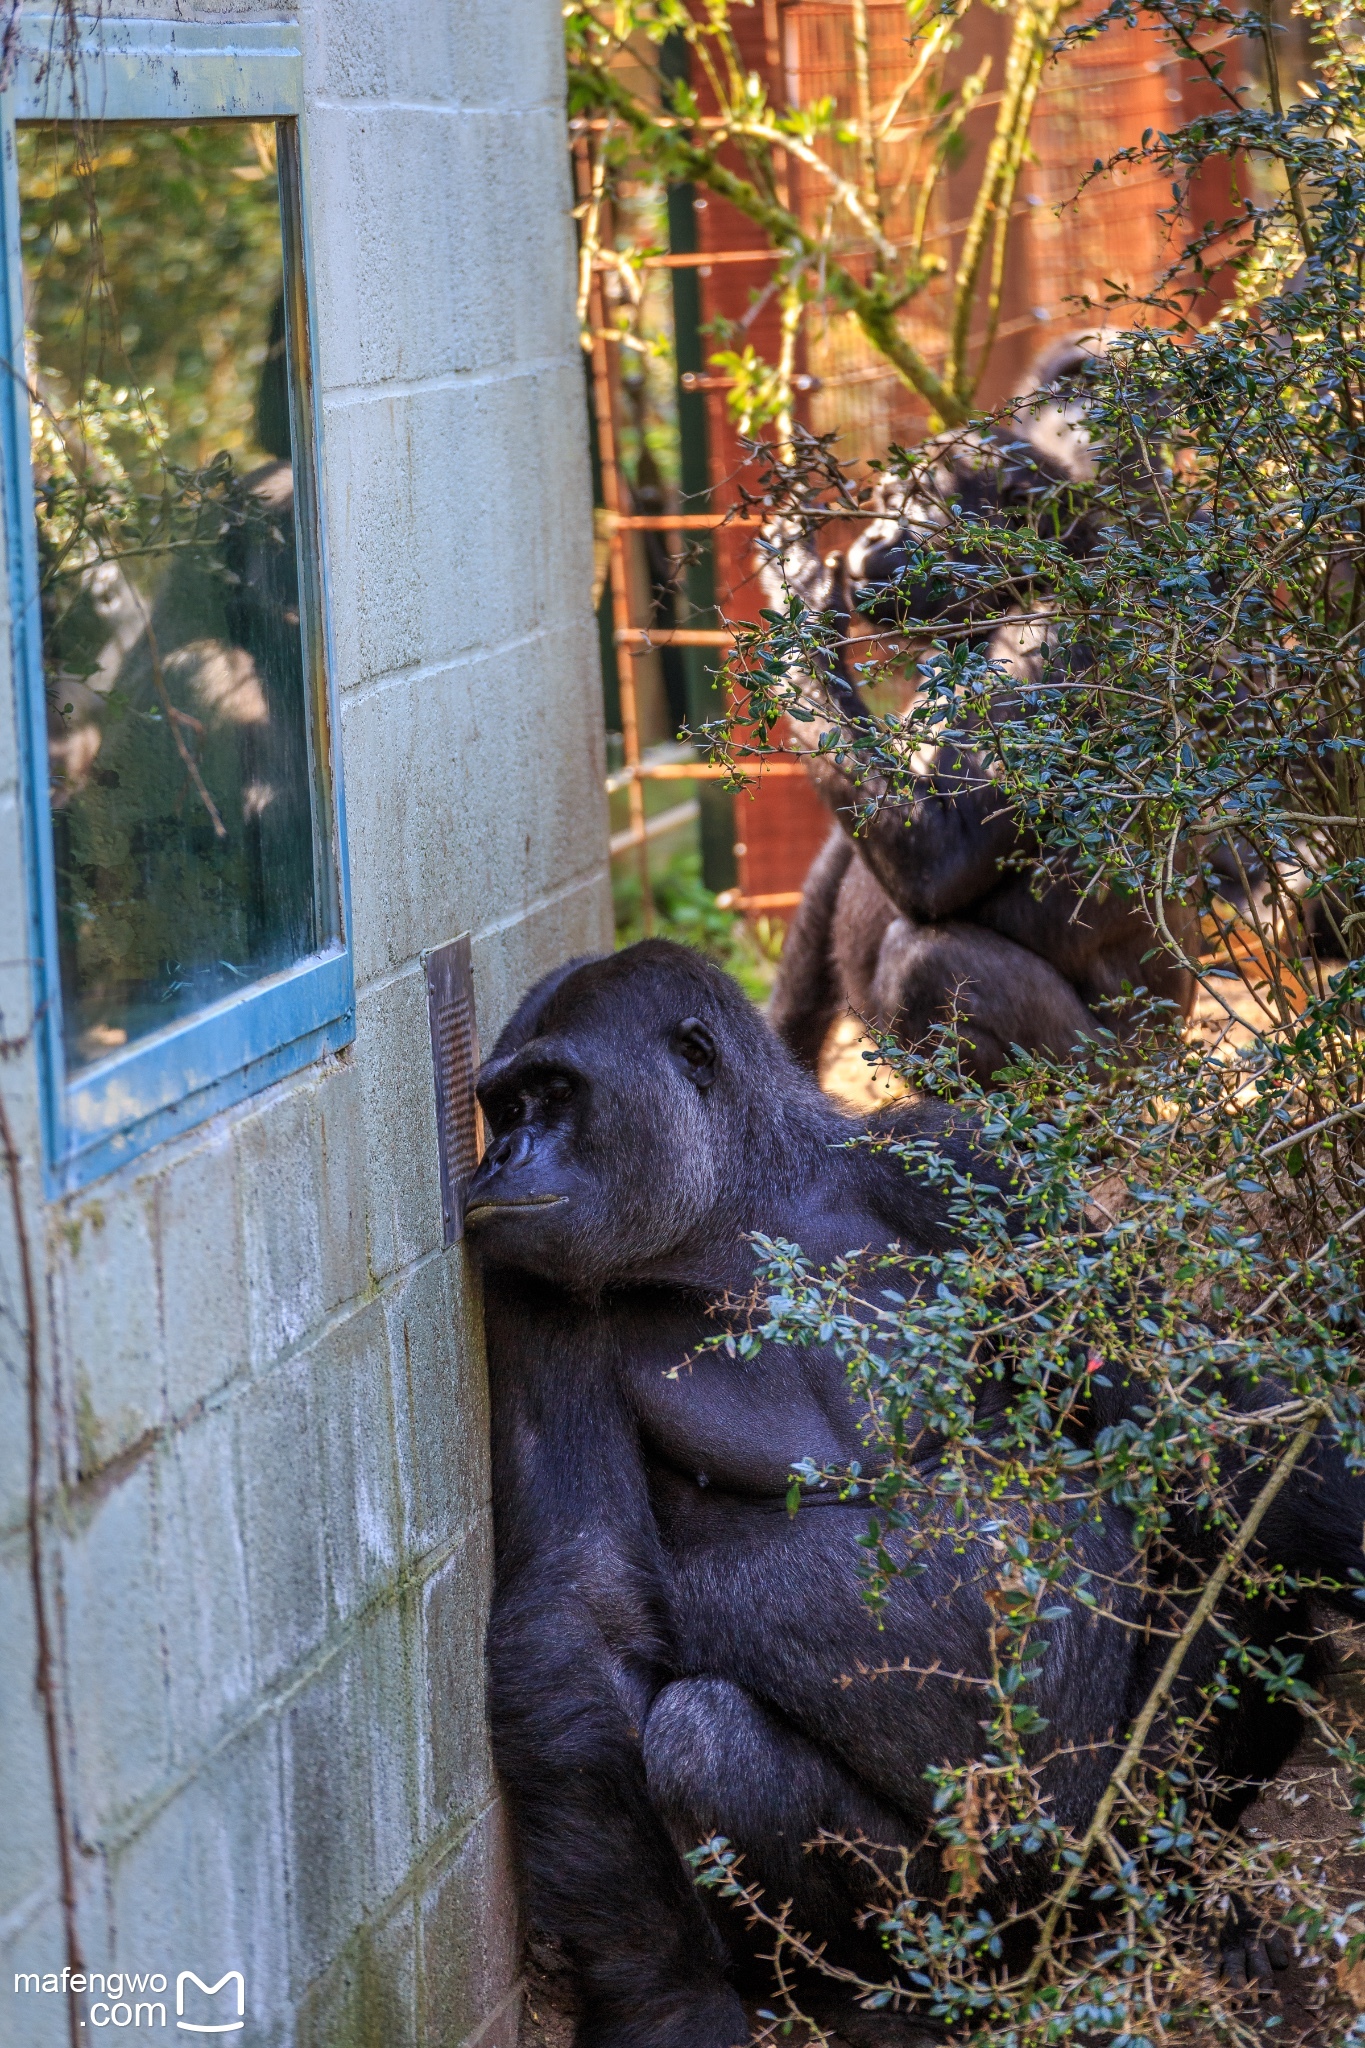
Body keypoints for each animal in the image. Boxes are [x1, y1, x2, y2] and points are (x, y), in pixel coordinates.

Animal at [466, 942, 1358, 2048]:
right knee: (709, 1743)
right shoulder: (531, 1288)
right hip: (962, 1914)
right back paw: (878, 1998)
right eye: (503, 1107)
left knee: (1225, 1561)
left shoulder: (963, 1161)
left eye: (553, 1093)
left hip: (1081, 1859)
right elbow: (579, 1605)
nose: (498, 1161)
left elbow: (1188, 1420)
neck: (745, 1214)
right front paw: (663, 1997)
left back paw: (1177, 1880)